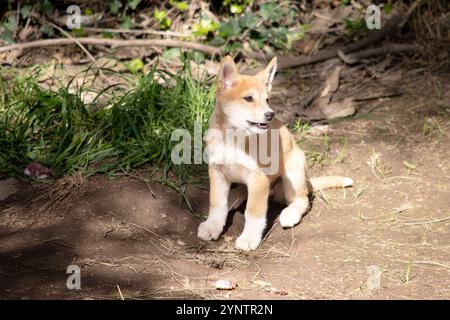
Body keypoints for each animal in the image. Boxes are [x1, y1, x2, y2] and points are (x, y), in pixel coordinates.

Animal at [197, 56, 352, 251]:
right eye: (248, 98)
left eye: (267, 99)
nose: (270, 114)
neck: (234, 137)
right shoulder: (216, 172)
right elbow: (216, 203)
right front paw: (212, 227)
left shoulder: (259, 178)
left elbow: (253, 211)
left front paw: (249, 238)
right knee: (241, 191)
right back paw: (233, 198)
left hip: (293, 174)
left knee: (302, 199)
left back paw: (289, 214)